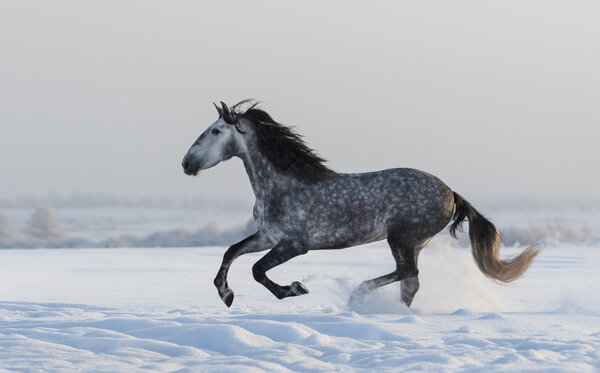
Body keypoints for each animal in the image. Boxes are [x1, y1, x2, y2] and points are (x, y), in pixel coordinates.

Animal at [180, 100, 540, 306]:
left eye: (215, 131)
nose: (186, 163)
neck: (282, 186)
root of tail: (450, 192)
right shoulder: (268, 237)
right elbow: (231, 252)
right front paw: (226, 295)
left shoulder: (294, 244)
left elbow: (256, 269)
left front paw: (294, 289)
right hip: (414, 242)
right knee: (410, 281)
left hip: (401, 238)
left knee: (408, 273)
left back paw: (359, 294)